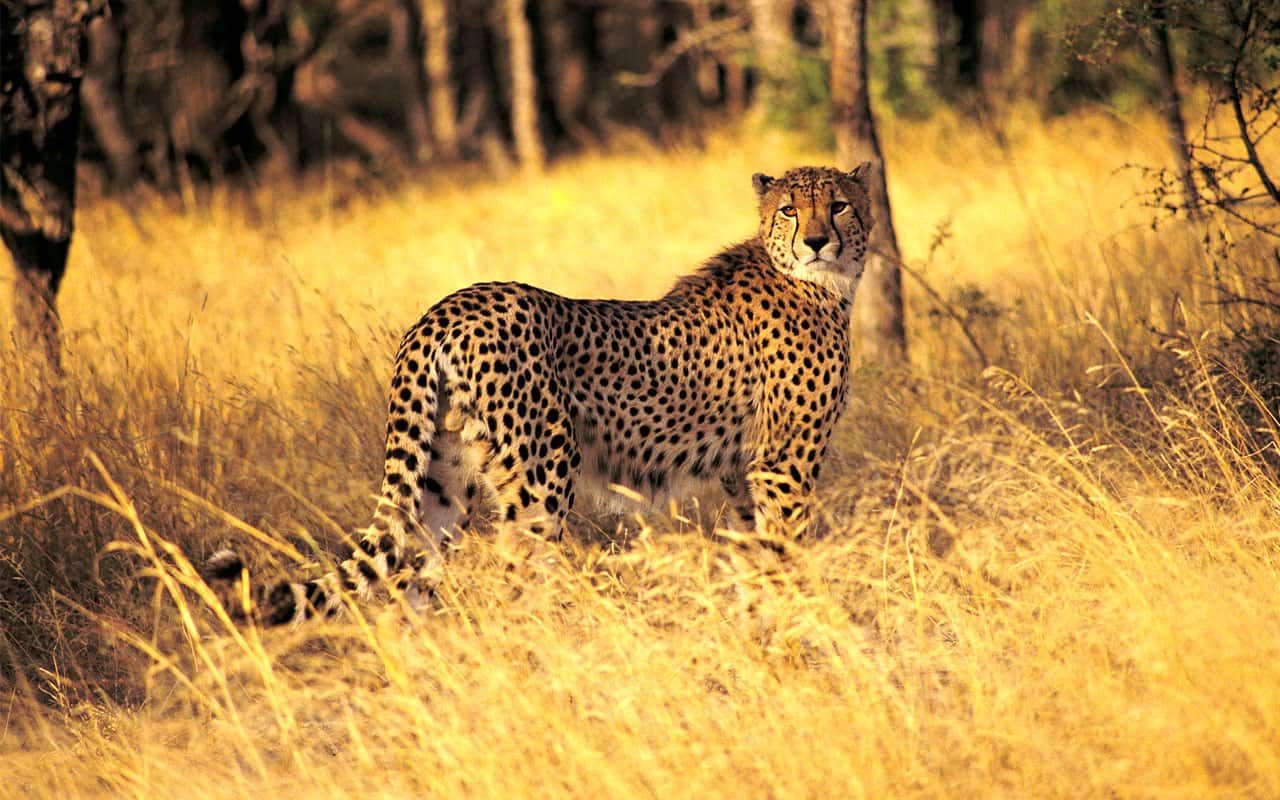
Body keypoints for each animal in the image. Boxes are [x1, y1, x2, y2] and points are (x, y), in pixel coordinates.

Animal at [205, 163, 876, 626]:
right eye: (789, 210)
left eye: (839, 205)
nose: (818, 241)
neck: (816, 282)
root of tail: (447, 308)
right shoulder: (784, 465)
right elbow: (784, 557)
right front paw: (797, 639)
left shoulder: (741, 471)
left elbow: (752, 560)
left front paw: (758, 633)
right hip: (542, 477)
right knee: (516, 585)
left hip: (441, 478)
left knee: (407, 583)